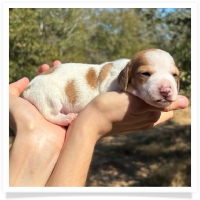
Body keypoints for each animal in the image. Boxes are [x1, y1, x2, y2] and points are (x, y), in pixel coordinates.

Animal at [23, 48, 180, 125]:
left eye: (175, 75)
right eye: (145, 73)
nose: (166, 90)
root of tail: (28, 88)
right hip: (49, 97)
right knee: (51, 114)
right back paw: (66, 119)